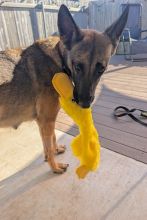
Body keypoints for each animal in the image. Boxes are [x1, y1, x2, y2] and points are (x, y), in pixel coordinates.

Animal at [0, 4, 129, 174]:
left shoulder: (43, 121)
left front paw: (54, 152)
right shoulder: (47, 120)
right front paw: (54, 167)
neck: (59, 59)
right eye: (77, 66)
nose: (84, 104)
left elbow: (50, 141)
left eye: (101, 69)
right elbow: (49, 144)